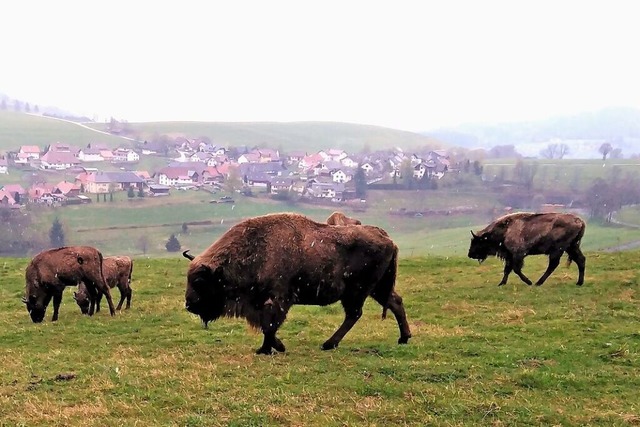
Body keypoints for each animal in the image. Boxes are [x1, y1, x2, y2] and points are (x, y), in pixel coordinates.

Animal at [182, 212, 412, 356]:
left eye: (199, 280)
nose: (189, 304)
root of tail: (387, 238)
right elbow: (267, 325)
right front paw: (275, 347)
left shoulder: (278, 300)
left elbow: (270, 325)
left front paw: (267, 349)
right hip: (377, 288)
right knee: (395, 302)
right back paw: (404, 338)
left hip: (358, 292)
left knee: (355, 314)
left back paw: (328, 344)